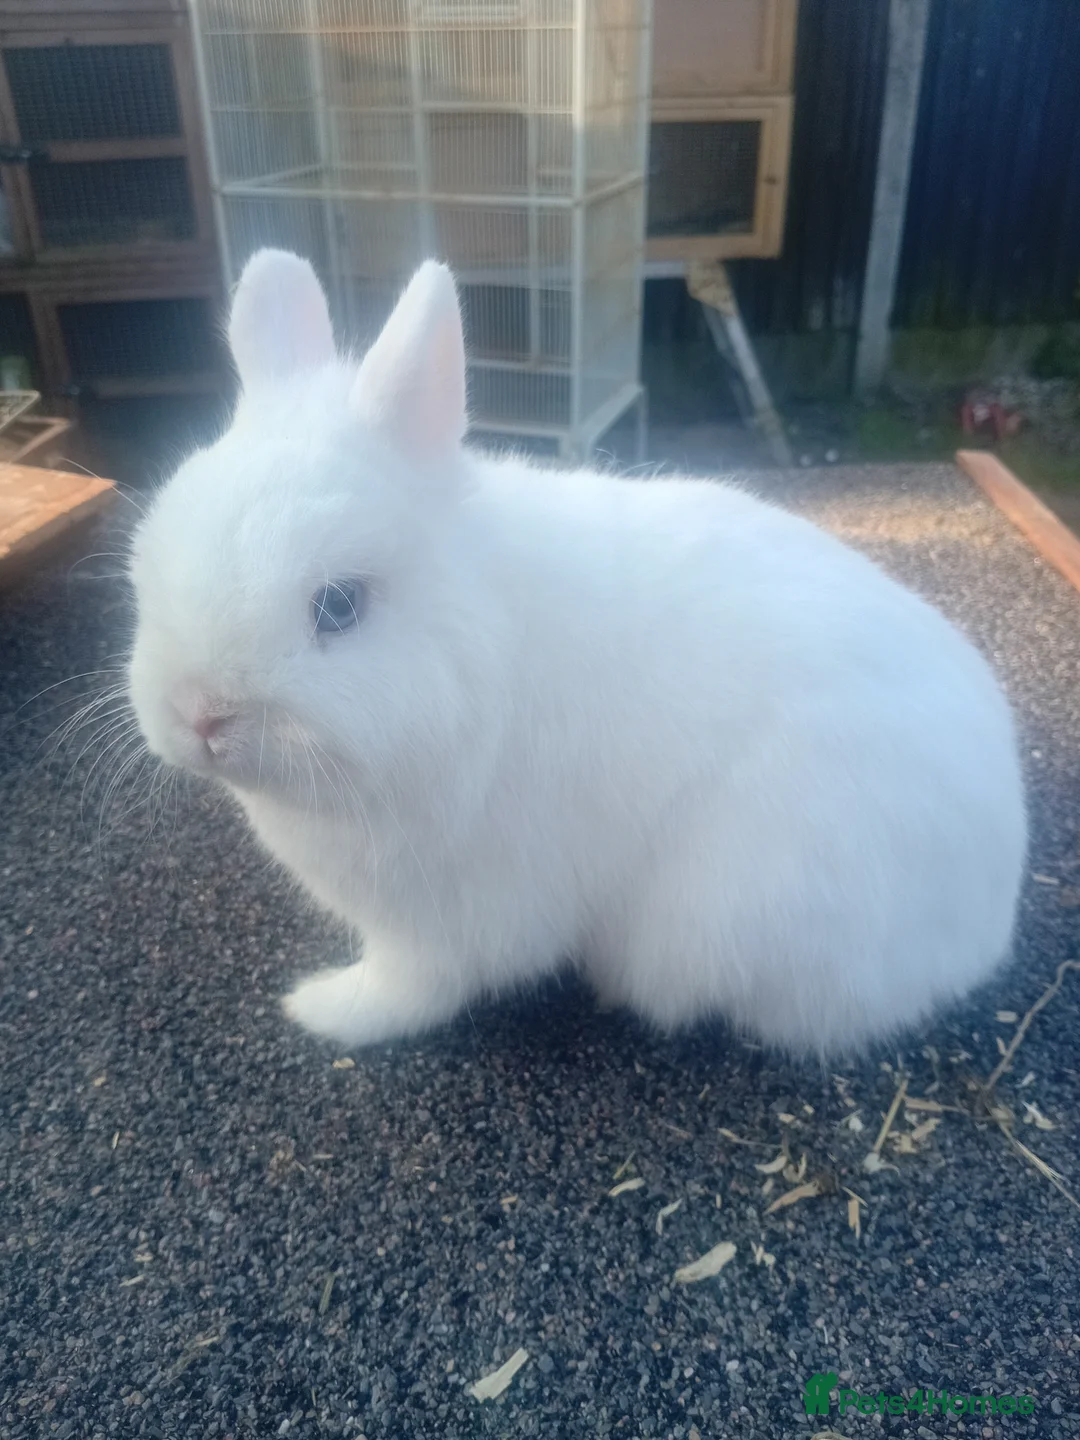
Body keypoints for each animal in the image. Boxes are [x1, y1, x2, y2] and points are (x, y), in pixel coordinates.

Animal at [127, 249, 1027, 1058]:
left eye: (339, 606)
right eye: (153, 558)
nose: (200, 714)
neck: (484, 641)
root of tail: (988, 918)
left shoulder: (449, 914)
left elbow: (413, 987)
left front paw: (325, 1012)